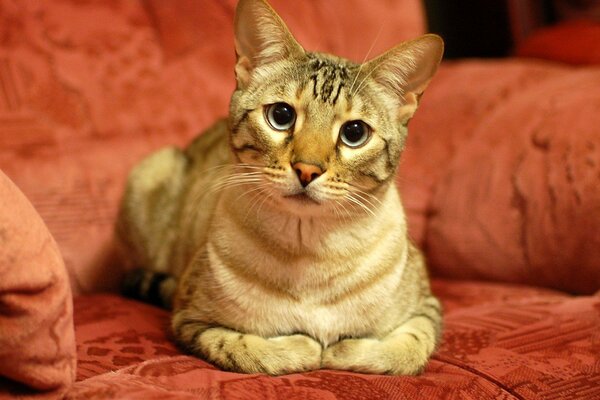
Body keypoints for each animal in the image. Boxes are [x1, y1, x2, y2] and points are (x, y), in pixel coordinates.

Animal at [118, 0, 446, 376]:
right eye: (281, 115)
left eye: (354, 133)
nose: (307, 170)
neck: (311, 254)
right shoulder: (191, 320)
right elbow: (257, 351)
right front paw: (310, 346)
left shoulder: (427, 310)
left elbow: (403, 352)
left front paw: (339, 349)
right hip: (151, 171)